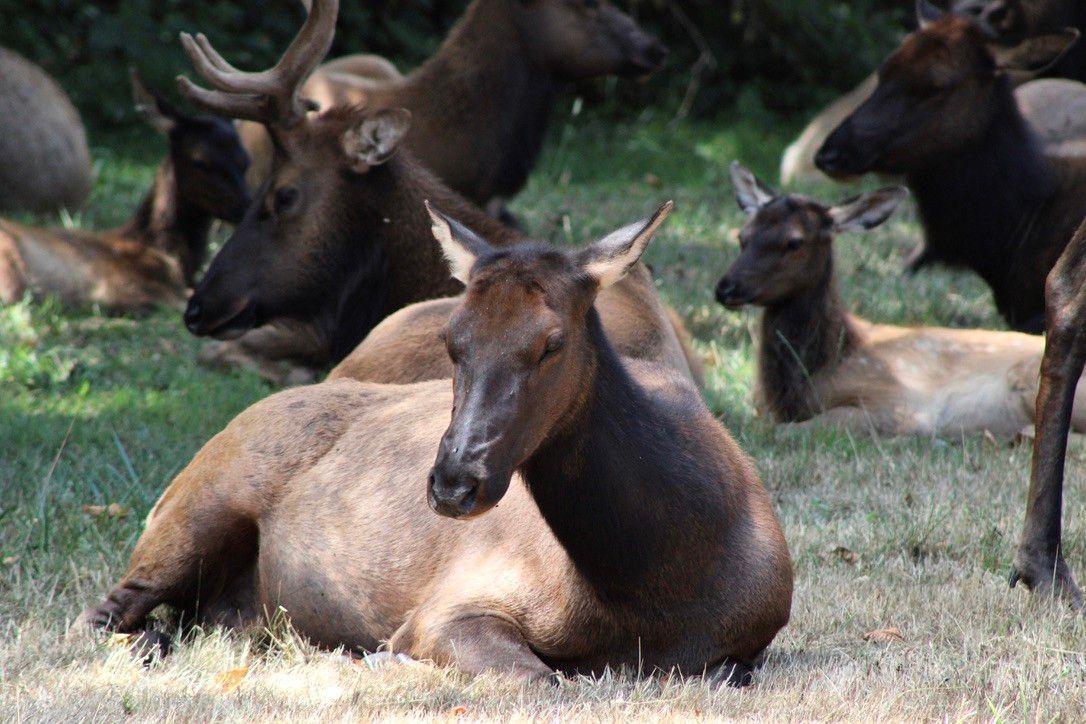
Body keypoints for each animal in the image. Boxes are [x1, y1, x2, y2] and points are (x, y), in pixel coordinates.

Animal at [73, 202, 793, 687]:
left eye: (552, 342)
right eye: (452, 340)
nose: (454, 482)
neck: (650, 581)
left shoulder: (752, 640)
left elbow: (726, 669)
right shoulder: (451, 605)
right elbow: (539, 677)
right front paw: (391, 658)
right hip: (197, 507)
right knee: (104, 615)